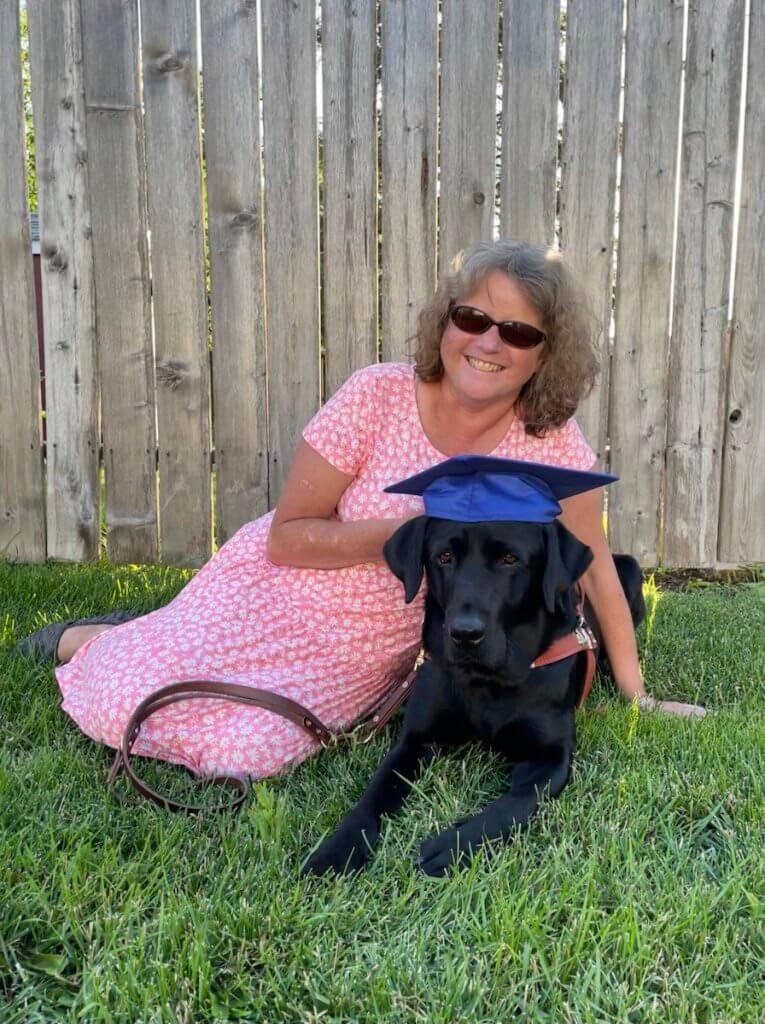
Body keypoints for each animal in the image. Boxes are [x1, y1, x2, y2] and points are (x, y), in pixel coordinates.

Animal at [305, 516, 647, 876]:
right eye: (444, 557)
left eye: (510, 559)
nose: (465, 634)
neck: (488, 679)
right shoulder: (416, 740)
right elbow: (374, 795)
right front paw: (335, 850)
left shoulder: (552, 757)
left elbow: (513, 803)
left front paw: (450, 847)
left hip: (631, 569)